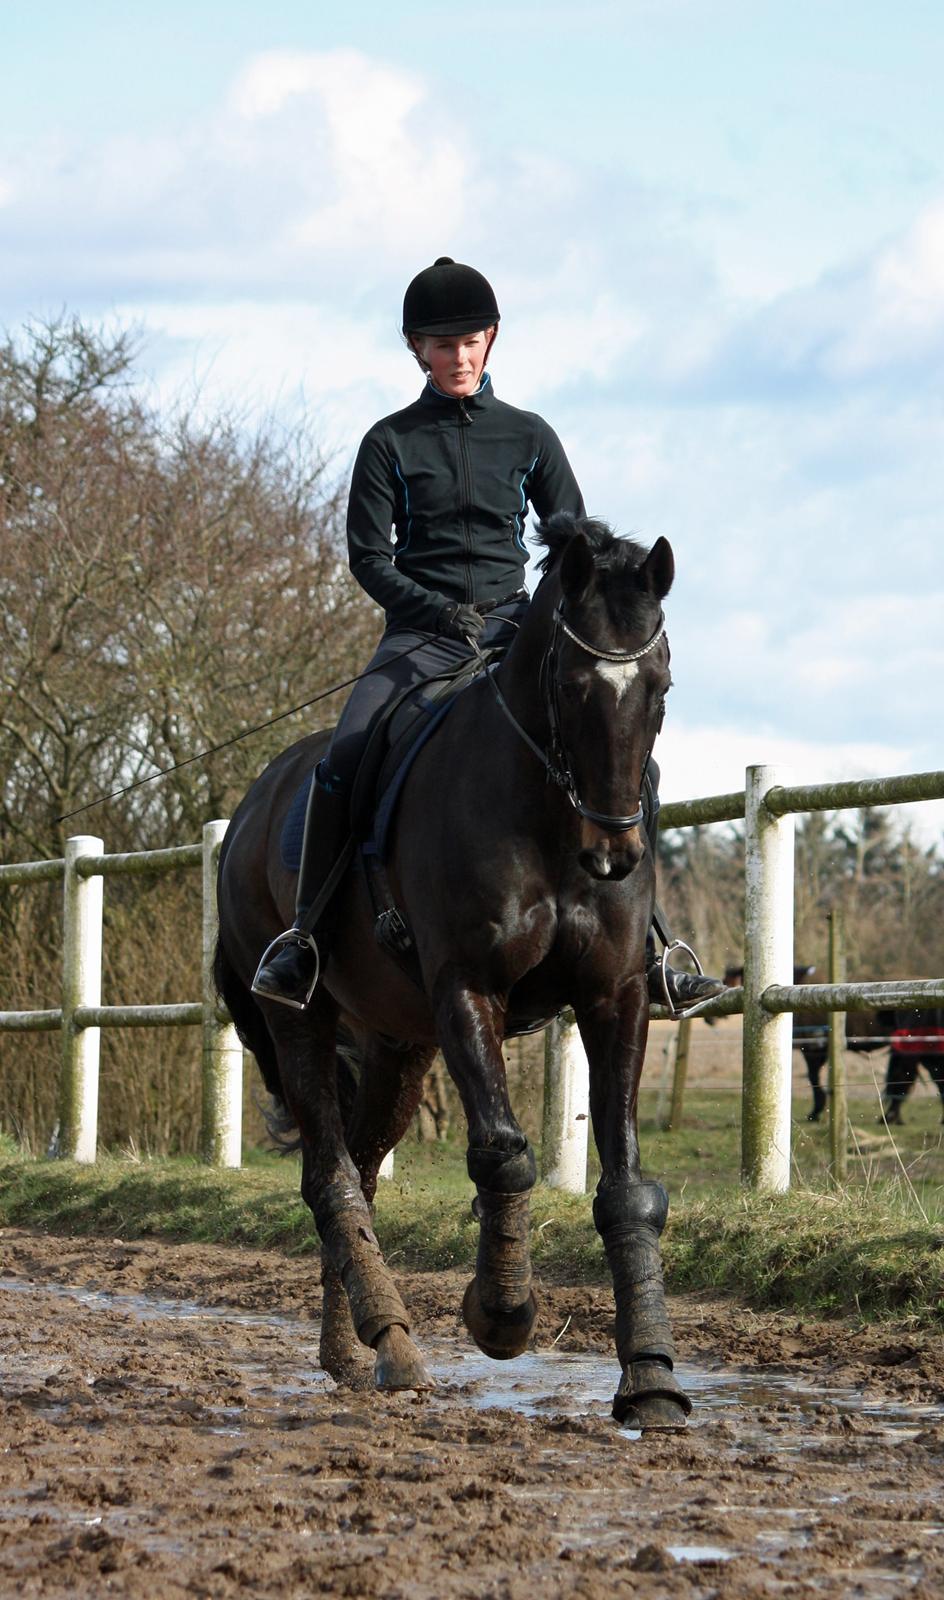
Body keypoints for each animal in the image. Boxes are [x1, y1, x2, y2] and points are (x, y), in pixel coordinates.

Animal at [212, 518, 688, 1433]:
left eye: (661, 684)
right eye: (571, 683)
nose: (615, 854)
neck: (546, 816)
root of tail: (251, 805)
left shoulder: (615, 997)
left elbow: (628, 1187)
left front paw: (650, 1373)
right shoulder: (468, 988)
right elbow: (503, 1155)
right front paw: (500, 1314)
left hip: (398, 1047)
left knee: (360, 1173)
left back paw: (352, 1349)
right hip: (301, 1017)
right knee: (331, 1178)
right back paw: (393, 1345)